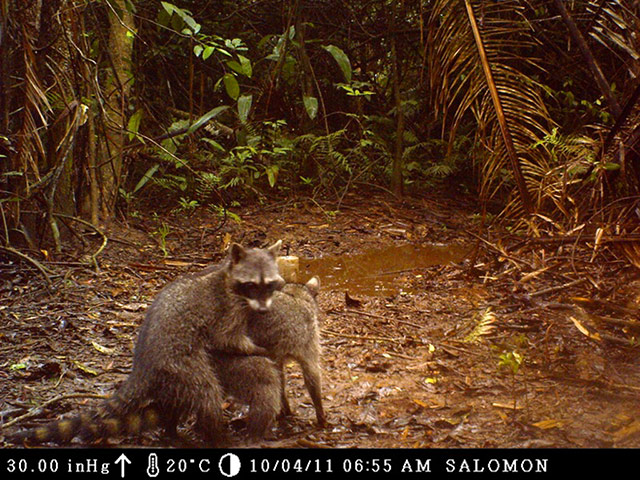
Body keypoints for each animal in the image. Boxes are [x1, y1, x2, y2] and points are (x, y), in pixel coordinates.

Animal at [6, 241, 285, 446]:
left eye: (270, 284)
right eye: (252, 285)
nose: (263, 309)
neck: (227, 275)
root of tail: (142, 365)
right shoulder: (227, 309)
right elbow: (226, 339)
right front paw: (258, 348)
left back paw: (172, 430)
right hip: (179, 361)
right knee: (206, 392)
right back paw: (215, 435)